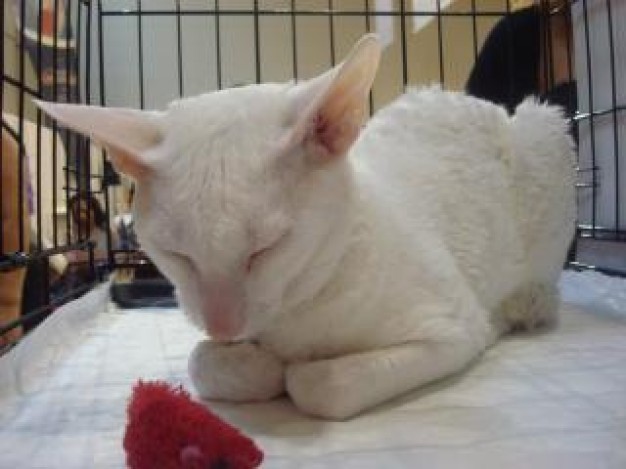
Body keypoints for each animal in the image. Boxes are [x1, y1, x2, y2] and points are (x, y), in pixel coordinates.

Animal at [36, 34, 572, 418]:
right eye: (176, 254)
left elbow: (322, 387)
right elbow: (203, 363)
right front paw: (251, 365)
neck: (299, 310)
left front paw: (292, 373)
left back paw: (523, 305)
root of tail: (470, 100)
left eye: (267, 248)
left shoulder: (452, 328)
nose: (222, 325)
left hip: (544, 130)